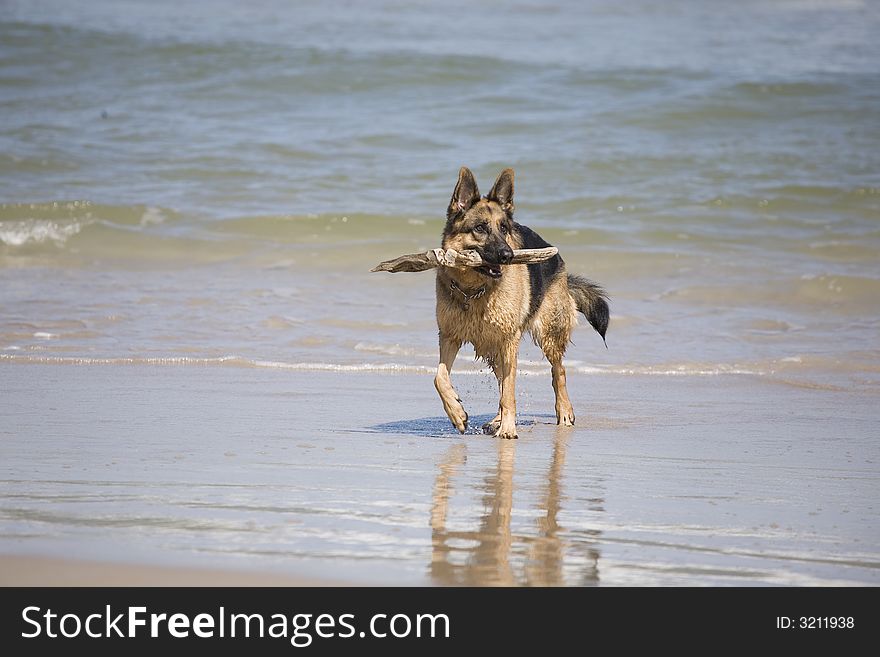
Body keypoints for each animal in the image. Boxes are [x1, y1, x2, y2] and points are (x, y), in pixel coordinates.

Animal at [434, 167, 612, 438]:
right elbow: (439, 378)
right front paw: (457, 413)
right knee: (502, 381)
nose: (508, 256)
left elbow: (509, 392)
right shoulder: (448, 336)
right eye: (480, 228)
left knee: (557, 371)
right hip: (494, 347)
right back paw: (497, 419)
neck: (474, 292)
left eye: (503, 228)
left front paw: (508, 429)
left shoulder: (509, 341)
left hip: (547, 333)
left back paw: (564, 411)